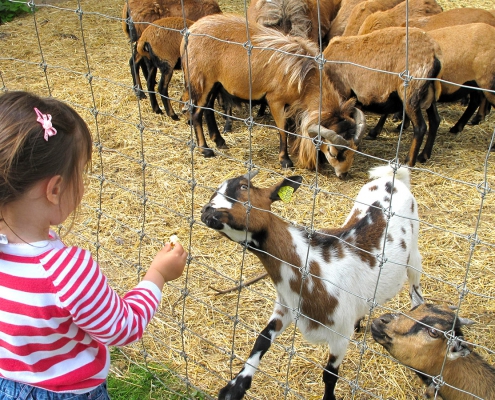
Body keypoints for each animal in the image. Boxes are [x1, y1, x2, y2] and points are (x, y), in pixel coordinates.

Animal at [180, 13, 366, 177]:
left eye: (354, 151)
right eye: (334, 153)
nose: (343, 175)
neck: (302, 74)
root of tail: (189, 33)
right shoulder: (275, 99)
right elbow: (283, 129)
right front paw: (285, 161)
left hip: (215, 83)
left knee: (208, 110)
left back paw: (220, 141)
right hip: (202, 79)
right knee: (196, 114)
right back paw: (205, 149)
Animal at [202, 166, 426, 400]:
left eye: (244, 186)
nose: (207, 211)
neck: (315, 269)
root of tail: (393, 177)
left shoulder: (339, 337)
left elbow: (330, 375)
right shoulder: (285, 308)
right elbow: (262, 339)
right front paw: (234, 388)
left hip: (414, 253)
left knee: (416, 290)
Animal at [324, 27, 444, 166]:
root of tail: (434, 52)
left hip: (411, 92)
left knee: (421, 127)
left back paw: (409, 162)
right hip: (429, 93)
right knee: (435, 120)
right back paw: (423, 156)